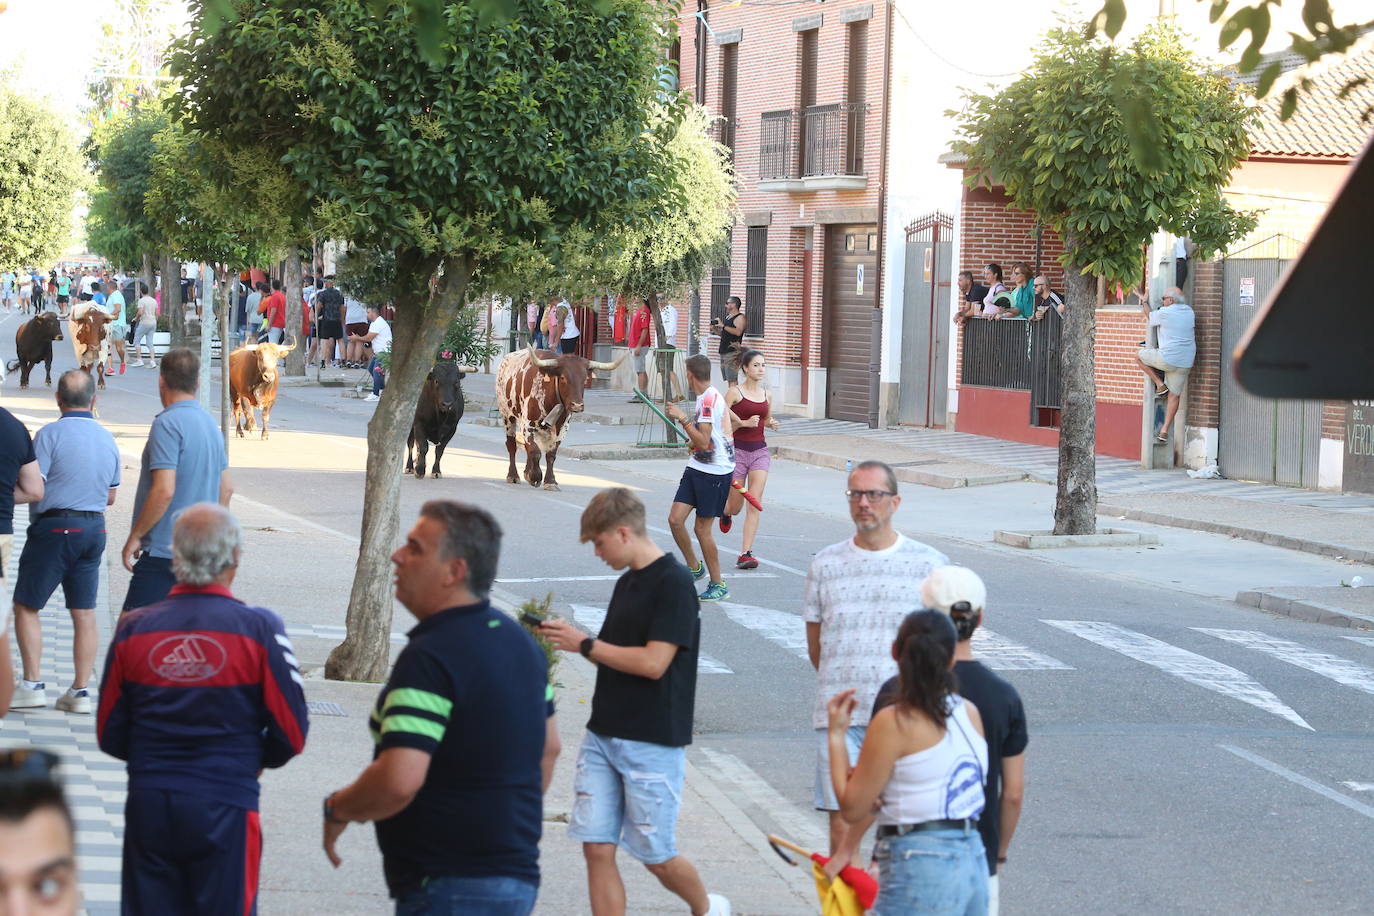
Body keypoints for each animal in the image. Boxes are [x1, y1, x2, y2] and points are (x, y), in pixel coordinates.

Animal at [494, 343, 623, 491]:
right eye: (563, 378)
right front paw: (535, 476)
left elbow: (550, 455)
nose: (577, 405)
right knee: (512, 445)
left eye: (585, 380)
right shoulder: (528, 425)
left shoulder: (562, 428)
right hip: (507, 415)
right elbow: (535, 451)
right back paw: (513, 475)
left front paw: (550, 481)